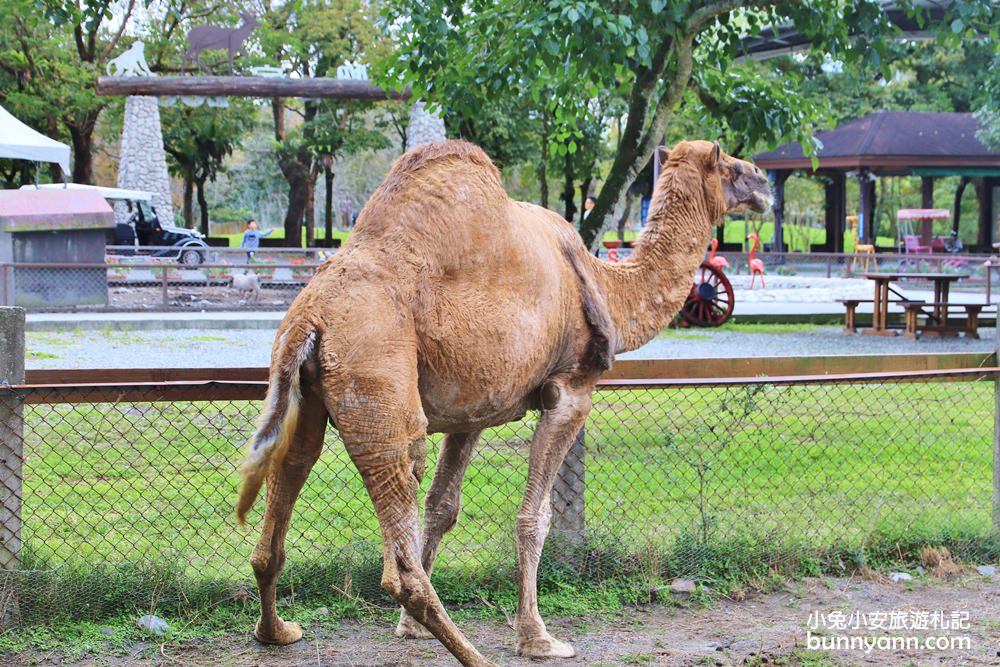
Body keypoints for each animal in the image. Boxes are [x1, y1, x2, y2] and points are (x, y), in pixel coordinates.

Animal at [238, 138, 768, 664]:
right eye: (730, 166)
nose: (763, 184)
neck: (607, 286)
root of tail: (310, 316)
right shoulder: (570, 390)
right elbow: (536, 516)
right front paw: (537, 637)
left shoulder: (471, 407)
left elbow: (443, 507)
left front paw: (408, 629)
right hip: (378, 381)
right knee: (399, 538)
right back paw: (475, 656)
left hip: (306, 393)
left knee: (286, 490)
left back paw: (279, 631)